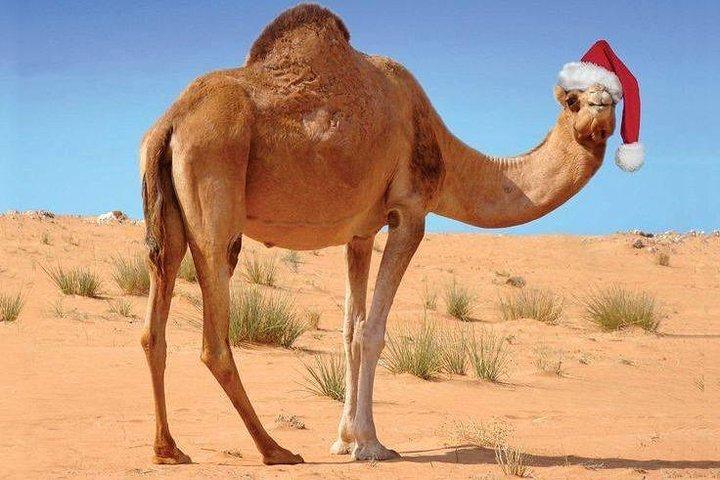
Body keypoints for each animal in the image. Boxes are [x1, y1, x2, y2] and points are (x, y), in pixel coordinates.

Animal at [139, 4, 621, 465]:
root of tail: (170, 122)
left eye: (613, 98)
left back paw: (169, 450)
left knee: (154, 324)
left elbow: (349, 329)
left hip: (169, 217)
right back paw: (275, 450)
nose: (600, 108)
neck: (444, 153)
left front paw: (343, 440)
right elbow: (372, 331)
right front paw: (371, 444)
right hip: (215, 188)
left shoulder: (360, 233)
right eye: (574, 100)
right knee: (214, 338)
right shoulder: (409, 213)